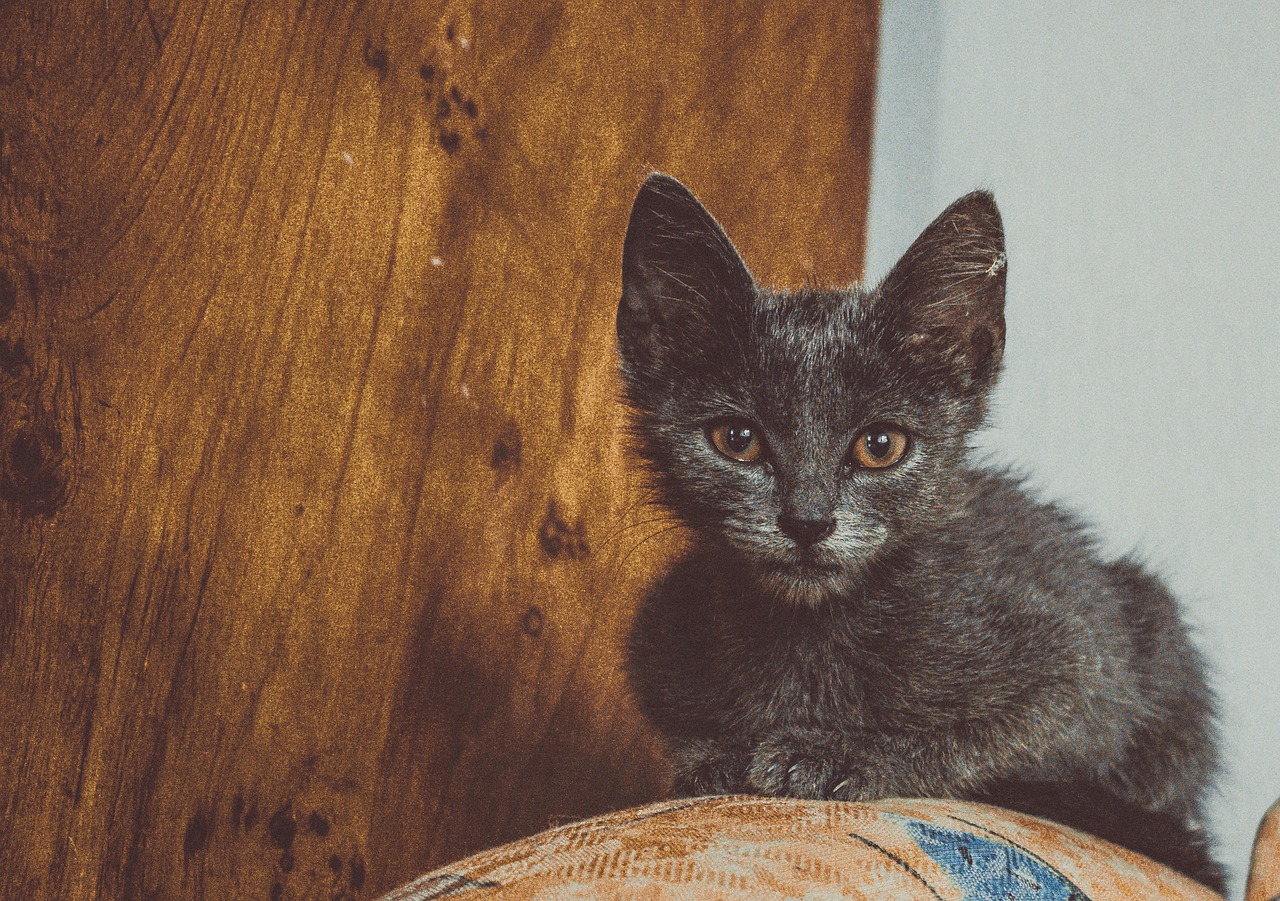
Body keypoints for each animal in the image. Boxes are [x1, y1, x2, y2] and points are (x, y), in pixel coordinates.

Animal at [614, 172, 1223, 890]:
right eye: (736, 439)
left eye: (880, 445)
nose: (807, 521)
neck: (808, 630)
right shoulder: (659, 636)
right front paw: (718, 752)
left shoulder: (1076, 666)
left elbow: (992, 736)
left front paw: (846, 753)